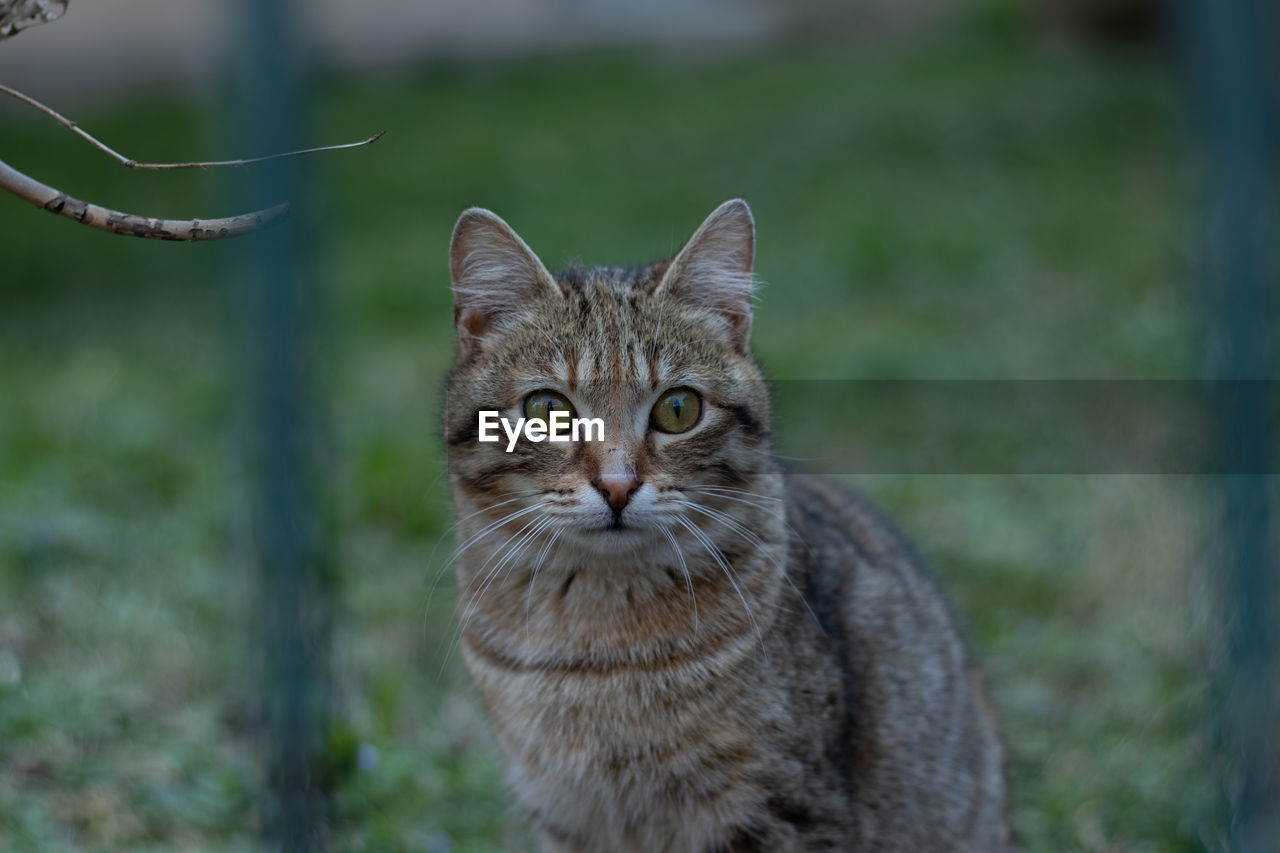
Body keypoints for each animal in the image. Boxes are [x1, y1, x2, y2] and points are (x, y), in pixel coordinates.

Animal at [445, 201, 1013, 850]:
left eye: (678, 409)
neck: (595, 644)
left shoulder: (777, 809)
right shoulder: (566, 817)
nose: (617, 486)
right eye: (546, 411)